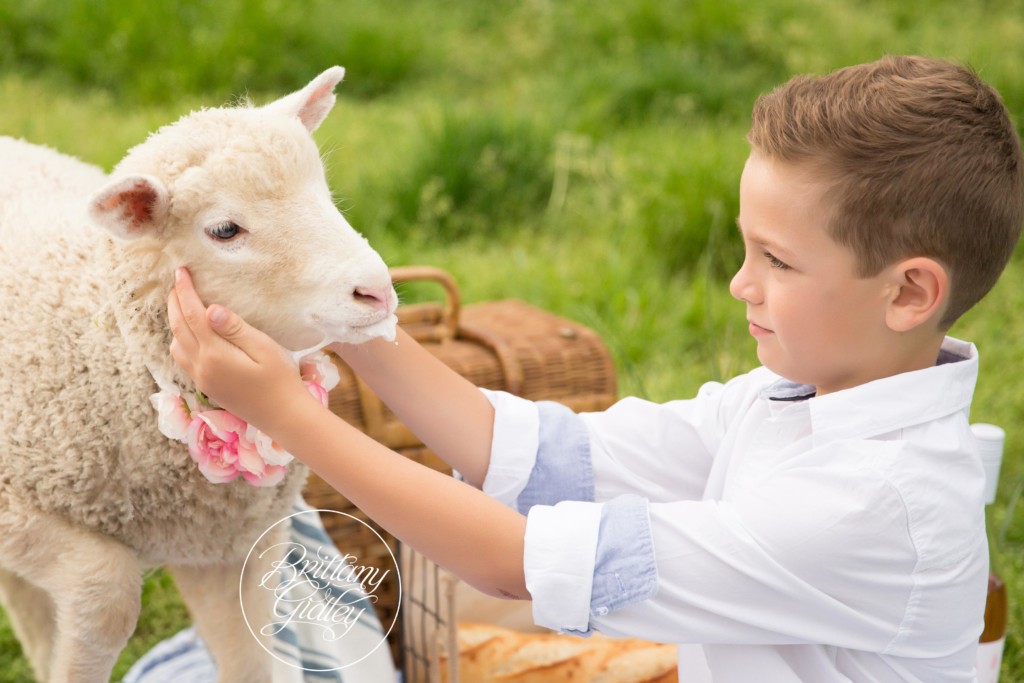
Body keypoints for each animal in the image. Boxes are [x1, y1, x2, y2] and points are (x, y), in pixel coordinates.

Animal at [0, 66, 398, 683]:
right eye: (225, 230)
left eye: (323, 190)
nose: (376, 291)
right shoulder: (16, 510)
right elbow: (106, 592)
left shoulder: (233, 549)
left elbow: (253, 664)